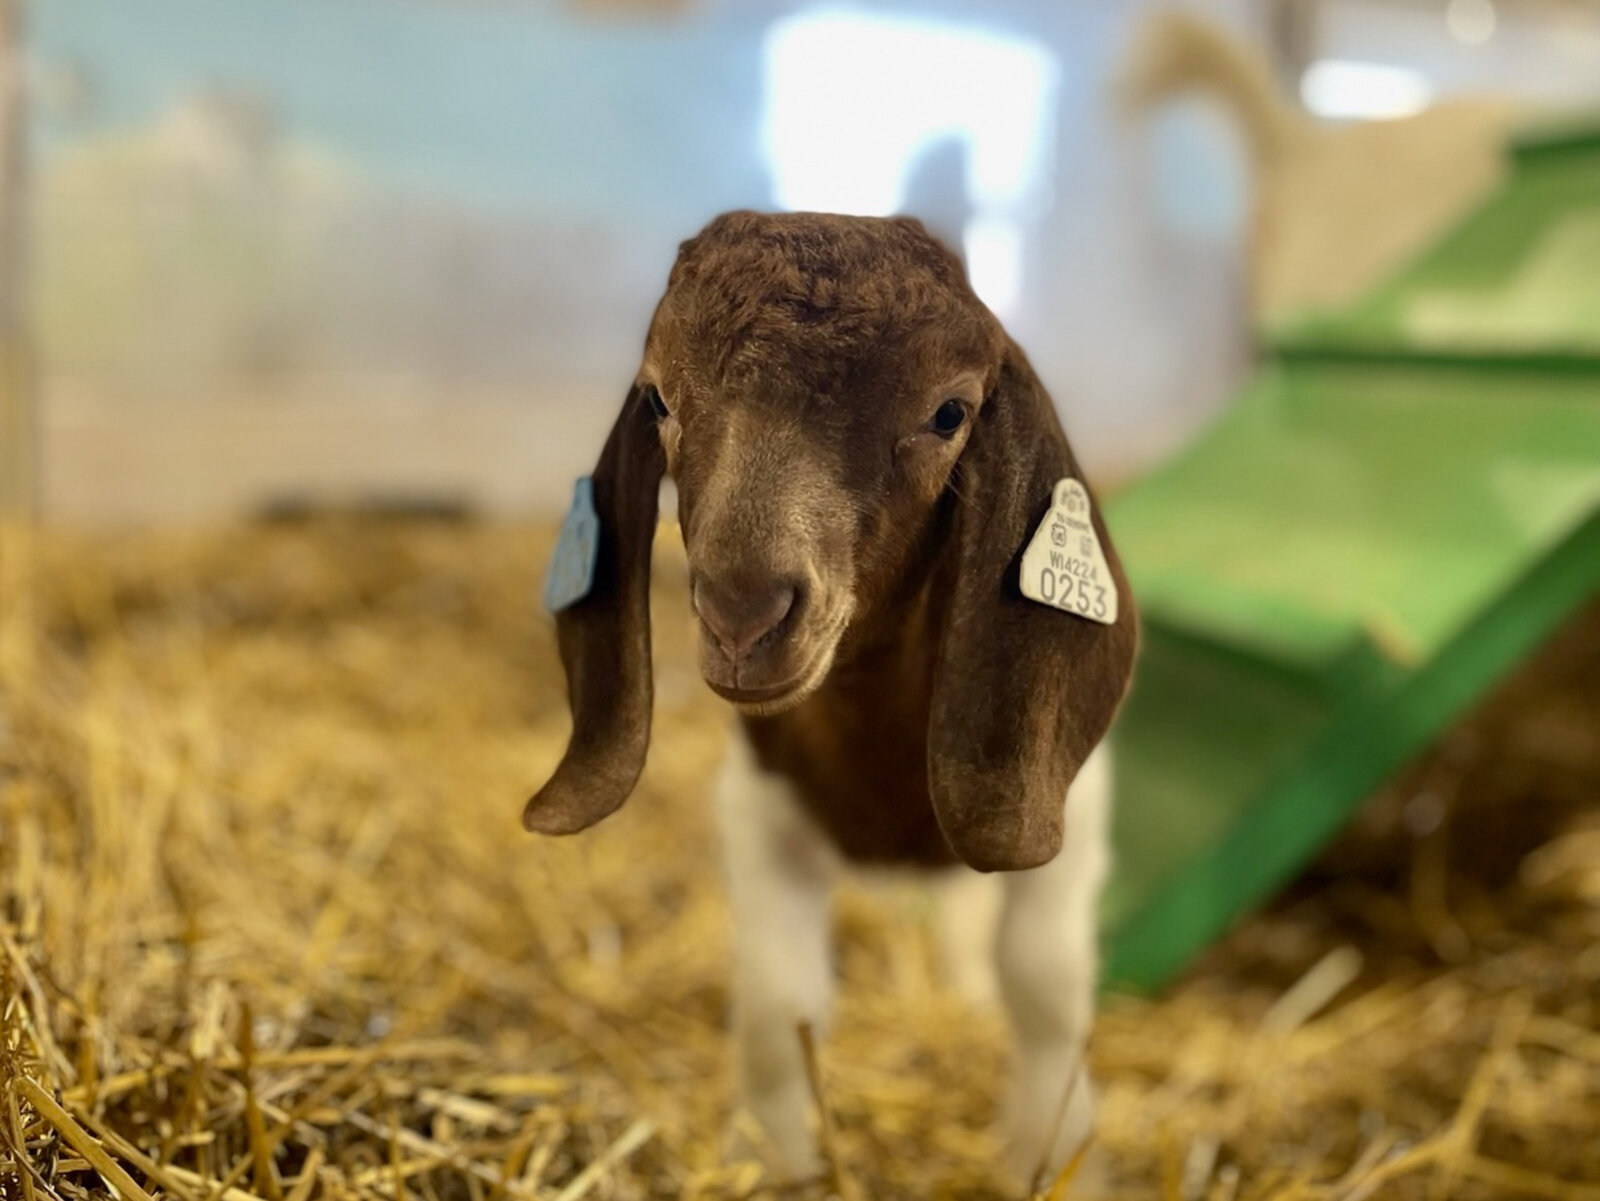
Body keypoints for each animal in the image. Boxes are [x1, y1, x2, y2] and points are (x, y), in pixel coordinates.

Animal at [524, 214, 1139, 1183]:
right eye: (657, 399)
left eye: (949, 412)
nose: (740, 614)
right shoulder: (760, 811)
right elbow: (780, 1007)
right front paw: (775, 1159)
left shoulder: (1068, 818)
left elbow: (1044, 987)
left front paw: (1053, 1157)